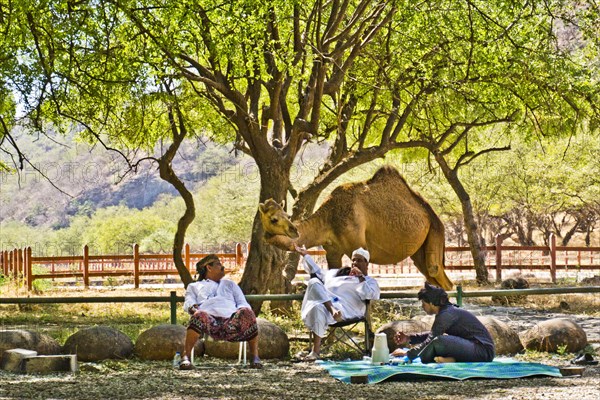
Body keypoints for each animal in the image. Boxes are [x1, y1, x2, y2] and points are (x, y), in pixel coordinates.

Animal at [260, 166, 452, 290]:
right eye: (275, 218)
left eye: (285, 216)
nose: (294, 230)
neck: (330, 217)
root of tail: (430, 212)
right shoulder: (332, 251)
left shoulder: (357, 244)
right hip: (419, 251)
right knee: (434, 277)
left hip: (436, 230)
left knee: (437, 271)